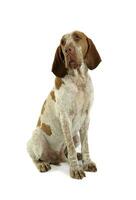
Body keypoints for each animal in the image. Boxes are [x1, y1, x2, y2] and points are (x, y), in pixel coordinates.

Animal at [26, 30, 101, 179]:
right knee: (35, 158)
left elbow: (85, 145)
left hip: (75, 136)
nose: (67, 50)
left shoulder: (86, 117)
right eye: (62, 42)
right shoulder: (65, 118)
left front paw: (87, 162)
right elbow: (71, 148)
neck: (79, 81)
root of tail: (56, 158)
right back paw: (42, 164)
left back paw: (78, 156)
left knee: (66, 152)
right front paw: (76, 169)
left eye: (77, 37)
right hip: (36, 136)